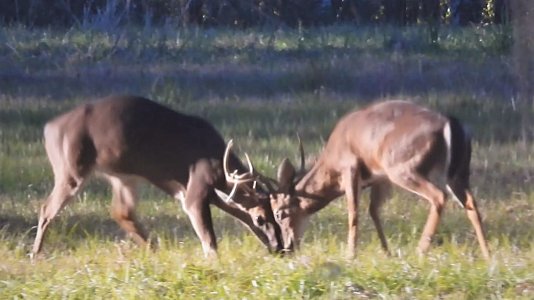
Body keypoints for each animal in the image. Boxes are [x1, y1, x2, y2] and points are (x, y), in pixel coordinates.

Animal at [32, 96, 284, 258]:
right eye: (261, 218)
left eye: (277, 215)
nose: (279, 248)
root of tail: (48, 129)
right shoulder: (196, 188)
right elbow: (210, 241)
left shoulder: (202, 192)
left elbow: (238, 217)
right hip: (70, 169)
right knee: (46, 208)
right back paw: (35, 254)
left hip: (123, 175)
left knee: (121, 212)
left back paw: (153, 249)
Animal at [270, 99, 492, 258]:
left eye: (279, 214)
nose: (286, 248)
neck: (331, 160)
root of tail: (451, 124)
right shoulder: (379, 178)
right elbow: (374, 210)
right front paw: (387, 252)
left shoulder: (351, 167)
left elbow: (353, 212)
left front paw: (350, 255)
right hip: (458, 173)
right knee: (471, 204)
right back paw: (488, 255)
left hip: (403, 167)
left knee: (438, 196)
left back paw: (421, 250)